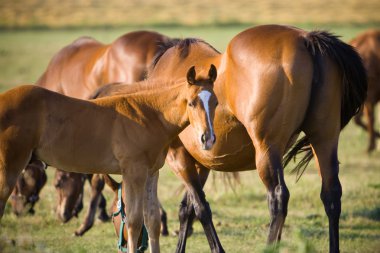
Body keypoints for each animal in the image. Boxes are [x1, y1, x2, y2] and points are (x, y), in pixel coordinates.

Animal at [0, 61, 217, 253]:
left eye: (215, 102)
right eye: (191, 103)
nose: (207, 139)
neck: (148, 114)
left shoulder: (151, 173)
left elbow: (152, 221)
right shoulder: (133, 173)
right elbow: (134, 221)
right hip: (10, 167)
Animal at [95, 25, 368, 253]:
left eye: (116, 211)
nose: (123, 243)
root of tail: (306, 39)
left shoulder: (178, 158)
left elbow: (201, 208)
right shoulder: (201, 163)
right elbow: (187, 209)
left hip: (267, 149)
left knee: (278, 198)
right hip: (324, 139)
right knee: (331, 195)